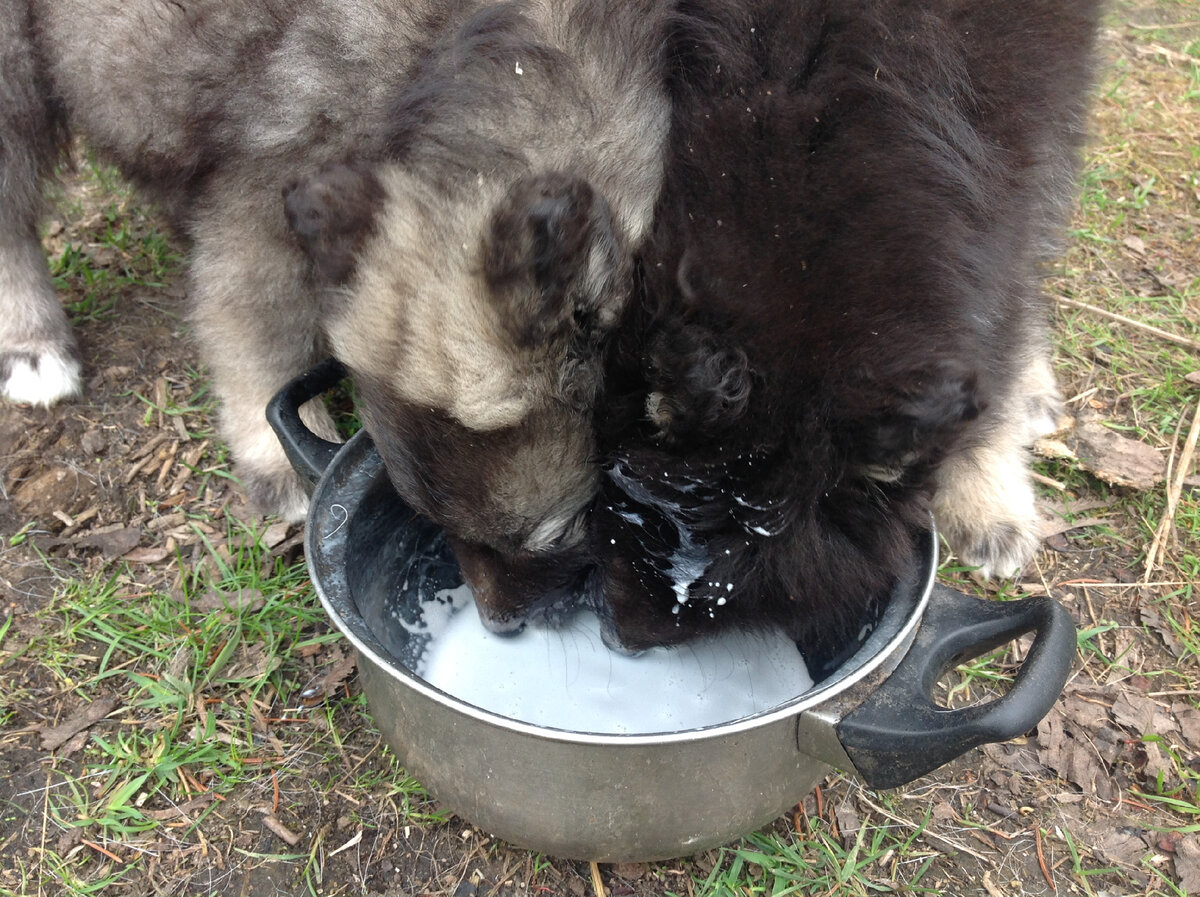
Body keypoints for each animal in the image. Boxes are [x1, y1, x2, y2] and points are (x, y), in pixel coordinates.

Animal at [0, 0, 672, 618]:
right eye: (564, 528)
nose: (497, 623)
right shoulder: (264, 192)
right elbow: (255, 330)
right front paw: (276, 460)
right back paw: (32, 345)